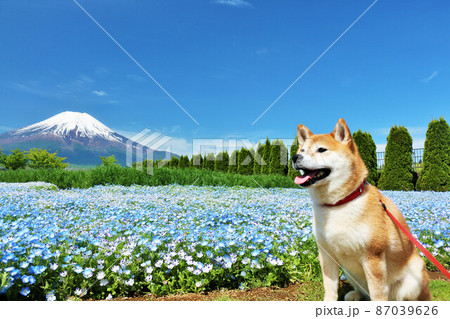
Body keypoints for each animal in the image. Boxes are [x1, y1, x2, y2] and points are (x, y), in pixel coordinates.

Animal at [292, 119, 432, 302]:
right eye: (302, 150)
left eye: (321, 149)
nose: (295, 157)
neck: (338, 204)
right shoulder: (326, 255)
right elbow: (329, 287)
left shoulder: (373, 256)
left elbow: (378, 294)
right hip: (350, 273)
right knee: (363, 291)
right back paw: (354, 294)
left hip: (415, 273)